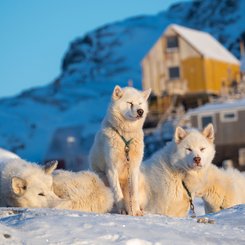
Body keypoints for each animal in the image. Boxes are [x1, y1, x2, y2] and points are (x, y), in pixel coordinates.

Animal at [90, 85, 151, 215]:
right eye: (130, 103)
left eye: (140, 103)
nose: (140, 111)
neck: (125, 138)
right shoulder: (111, 169)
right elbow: (117, 193)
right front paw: (122, 210)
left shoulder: (133, 168)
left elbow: (133, 194)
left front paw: (135, 211)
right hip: (102, 177)